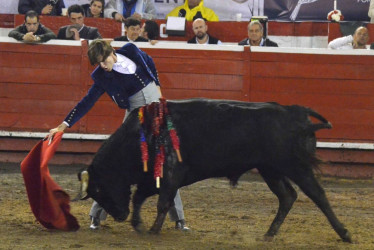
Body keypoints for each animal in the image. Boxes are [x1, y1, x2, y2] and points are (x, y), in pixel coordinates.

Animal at [77, 99, 352, 242]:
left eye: (100, 188)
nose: (119, 215)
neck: (140, 135)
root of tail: (298, 112)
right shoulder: (153, 178)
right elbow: (139, 197)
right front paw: (138, 224)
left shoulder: (170, 175)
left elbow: (162, 202)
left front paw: (153, 229)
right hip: (270, 170)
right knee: (288, 196)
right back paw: (268, 234)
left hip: (296, 166)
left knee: (317, 195)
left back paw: (344, 233)